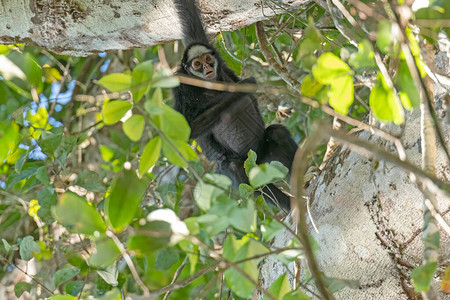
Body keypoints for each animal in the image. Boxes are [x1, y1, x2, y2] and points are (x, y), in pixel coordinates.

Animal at [171, 0, 296, 211]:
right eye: (197, 65)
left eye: (207, 59)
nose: (207, 68)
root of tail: (256, 158)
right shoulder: (181, 85)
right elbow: (187, 129)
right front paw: (242, 88)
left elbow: (189, 15)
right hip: (244, 163)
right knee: (236, 169)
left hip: (265, 157)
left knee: (277, 133)